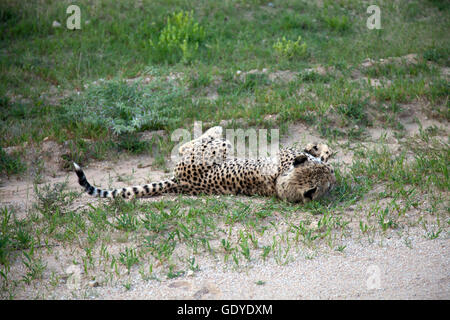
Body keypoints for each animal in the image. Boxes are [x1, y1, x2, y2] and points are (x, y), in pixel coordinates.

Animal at [73, 125, 334, 202]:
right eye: (328, 182)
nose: (332, 179)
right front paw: (320, 149)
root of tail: (178, 182)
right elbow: (313, 155)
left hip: (212, 151)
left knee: (189, 146)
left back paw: (213, 130)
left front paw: (320, 151)